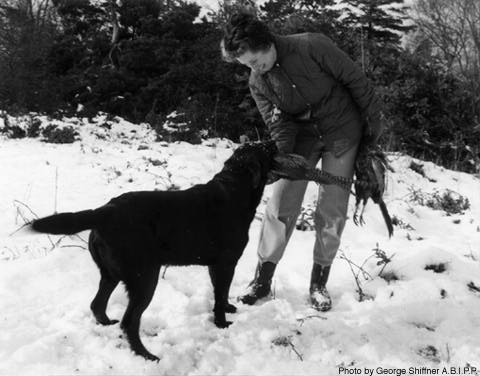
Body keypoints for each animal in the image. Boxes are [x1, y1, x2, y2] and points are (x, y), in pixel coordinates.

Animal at [29, 142, 278, 362]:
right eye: (266, 148)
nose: (274, 141)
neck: (234, 189)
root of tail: (104, 210)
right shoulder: (225, 263)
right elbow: (219, 295)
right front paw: (221, 322)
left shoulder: (215, 265)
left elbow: (222, 292)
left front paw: (227, 308)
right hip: (145, 278)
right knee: (129, 321)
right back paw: (146, 355)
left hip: (111, 274)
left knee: (97, 305)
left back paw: (108, 324)